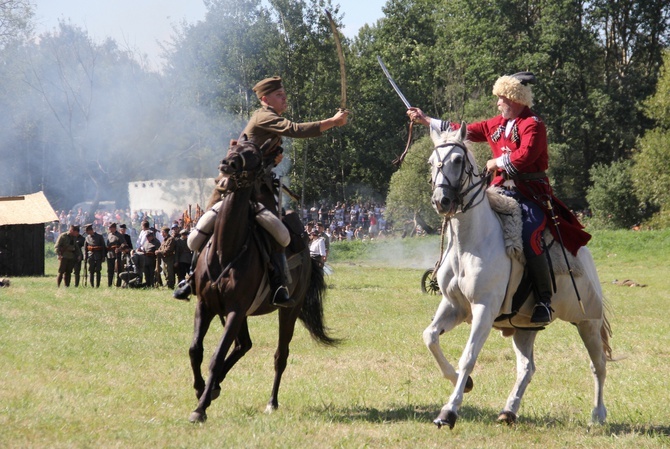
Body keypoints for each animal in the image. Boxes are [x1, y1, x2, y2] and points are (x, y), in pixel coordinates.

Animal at [186, 138, 338, 422]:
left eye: (254, 155)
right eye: (232, 147)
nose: (227, 164)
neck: (227, 250)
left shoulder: (235, 311)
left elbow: (216, 356)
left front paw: (200, 408)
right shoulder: (206, 306)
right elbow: (195, 350)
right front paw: (202, 389)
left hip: (289, 310)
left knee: (280, 355)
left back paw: (271, 402)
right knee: (243, 345)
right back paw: (216, 387)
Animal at [426, 122, 616, 428]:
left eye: (457, 160)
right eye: (432, 163)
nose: (441, 201)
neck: (471, 241)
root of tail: (584, 254)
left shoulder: (484, 308)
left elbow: (468, 356)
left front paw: (449, 410)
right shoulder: (455, 306)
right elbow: (430, 337)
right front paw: (464, 383)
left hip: (587, 319)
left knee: (598, 364)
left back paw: (598, 414)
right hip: (523, 327)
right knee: (527, 367)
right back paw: (509, 410)